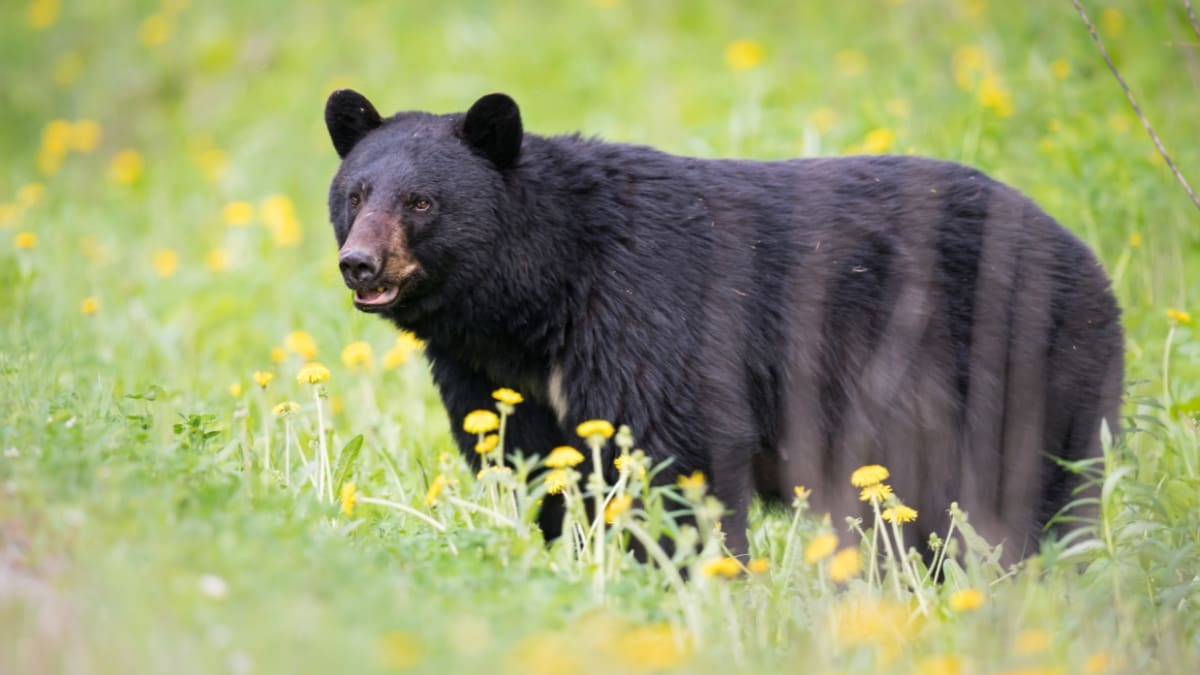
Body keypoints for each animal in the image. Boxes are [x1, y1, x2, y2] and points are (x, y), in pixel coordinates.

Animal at [323, 90, 1123, 562]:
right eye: (356, 192)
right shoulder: (492, 374)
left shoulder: (647, 310)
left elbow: (680, 447)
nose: (359, 263)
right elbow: (537, 461)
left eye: (422, 202)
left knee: (1031, 491)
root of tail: (1089, 259)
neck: (538, 296)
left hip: (1027, 364)